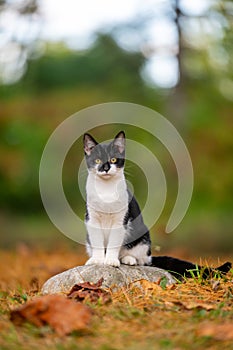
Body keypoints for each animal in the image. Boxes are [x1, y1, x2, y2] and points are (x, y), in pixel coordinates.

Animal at [83, 131, 230, 278]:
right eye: (97, 160)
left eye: (113, 159)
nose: (106, 168)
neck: (106, 190)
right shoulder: (92, 220)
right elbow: (97, 242)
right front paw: (97, 260)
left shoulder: (121, 221)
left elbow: (114, 243)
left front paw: (111, 261)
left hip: (143, 236)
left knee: (142, 259)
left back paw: (128, 259)